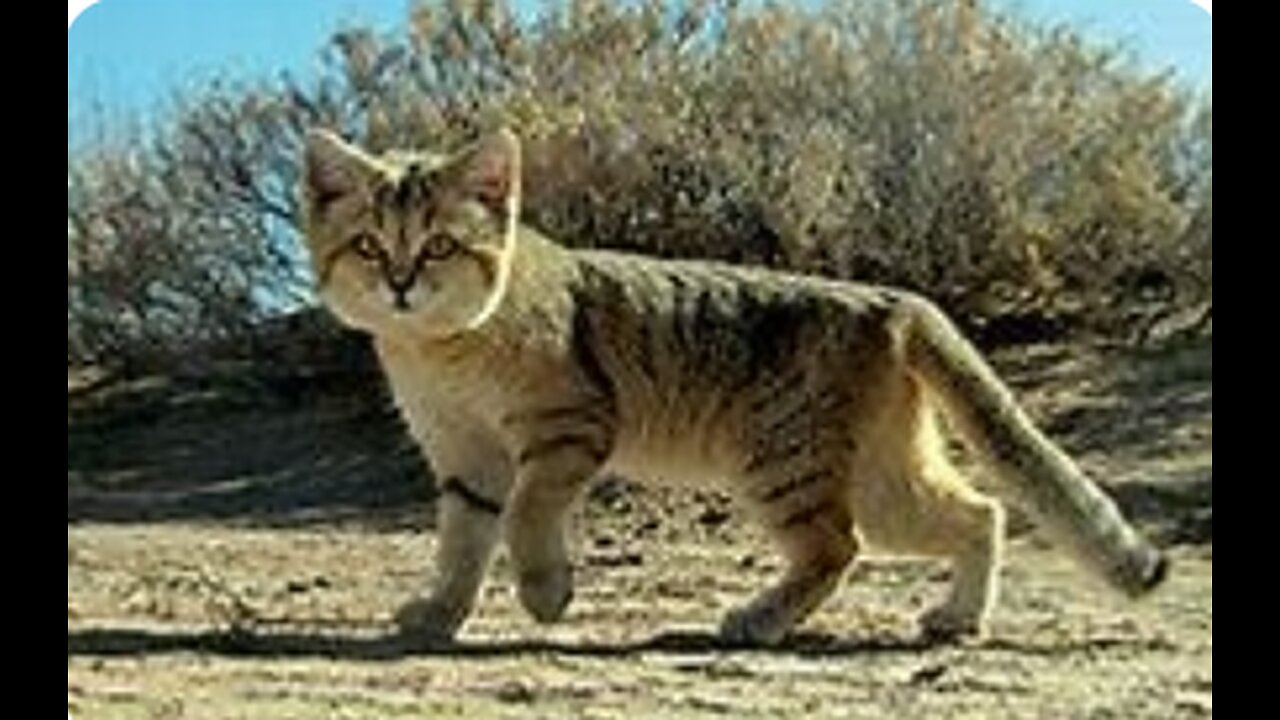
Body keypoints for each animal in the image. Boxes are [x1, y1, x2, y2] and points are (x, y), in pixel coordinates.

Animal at [302, 126, 1172, 640]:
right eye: (370, 246)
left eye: (441, 246)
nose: (401, 285)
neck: (440, 348)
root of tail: (898, 299)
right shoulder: (465, 459)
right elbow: (461, 543)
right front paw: (439, 615)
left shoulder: (566, 430)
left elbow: (524, 515)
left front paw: (546, 592)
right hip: (883, 477)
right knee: (981, 514)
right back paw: (957, 618)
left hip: (781, 464)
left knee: (837, 546)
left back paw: (759, 618)